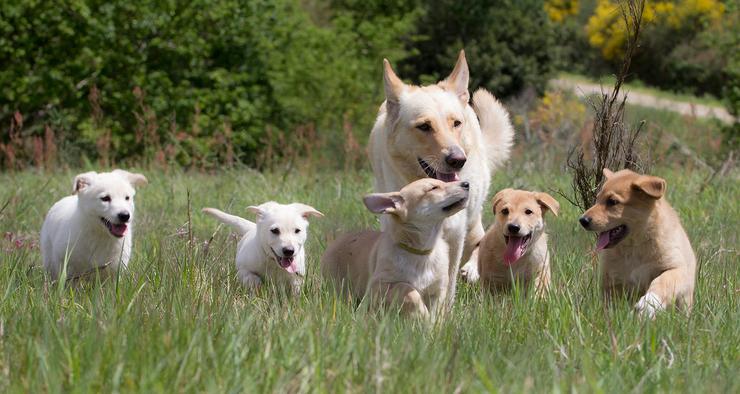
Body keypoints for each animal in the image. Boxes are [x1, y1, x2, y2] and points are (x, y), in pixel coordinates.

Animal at [322, 177, 472, 318]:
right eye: (433, 188)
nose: (467, 184)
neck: (421, 252)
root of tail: (338, 239)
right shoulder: (379, 285)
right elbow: (407, 289)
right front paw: (422, 315)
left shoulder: (438, 289)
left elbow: (437, 312)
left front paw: (431, 324)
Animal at [368, 48, 516, 302]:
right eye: (424, 126)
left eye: (456, 123)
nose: (458, 160)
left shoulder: (455, 234)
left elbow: (448, 282)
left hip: (472, 218)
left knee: (479, 238)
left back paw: (472, 268)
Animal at [580, 168, 696, 318]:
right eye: (597, 199)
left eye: (612, 201)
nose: (582, 220)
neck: (634, 248)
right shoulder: (611, 282)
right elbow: (611, 306)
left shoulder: (676, 268)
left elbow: (662, 281)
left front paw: (648, 305)